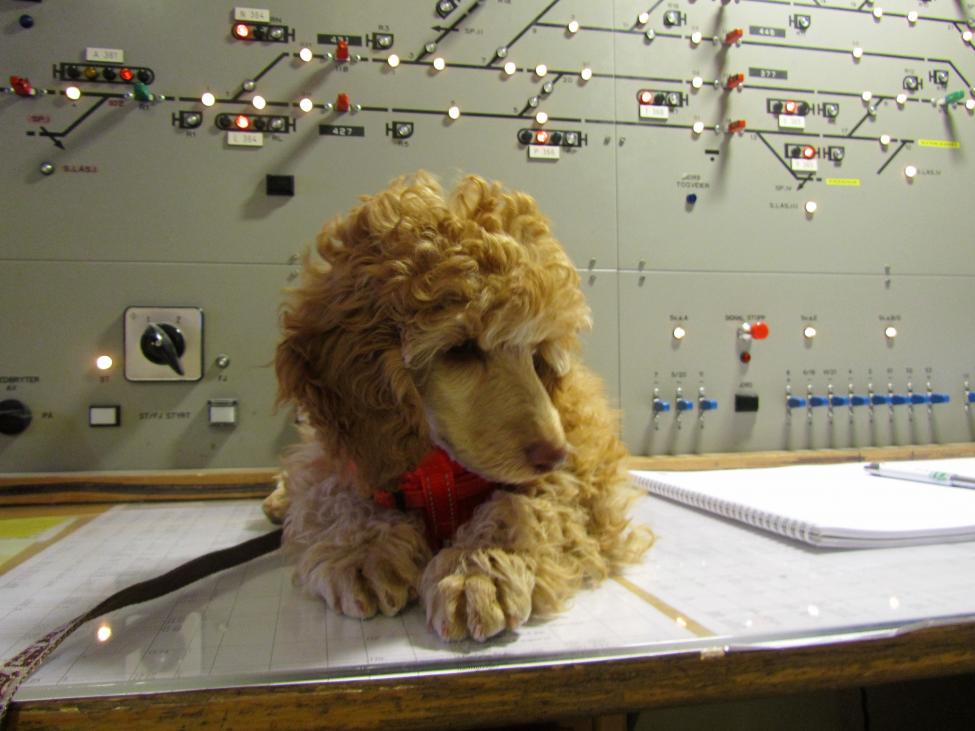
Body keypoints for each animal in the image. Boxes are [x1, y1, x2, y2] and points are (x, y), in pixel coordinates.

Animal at [266, 171, 652, 642]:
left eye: (538, 356)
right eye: (461, 349)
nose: (553, 453)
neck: (438, 469)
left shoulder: (584, 475)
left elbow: (530, 502)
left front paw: (479, 567)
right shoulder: (352, 447)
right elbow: (331, 489)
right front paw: (364, 547)